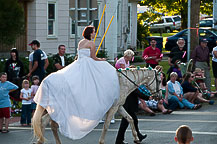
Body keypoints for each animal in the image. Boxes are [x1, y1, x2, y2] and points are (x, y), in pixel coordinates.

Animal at [32, 67, 161, 144]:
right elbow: (106, 125)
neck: (122, 82)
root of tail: (46, 80)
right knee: (45, 122)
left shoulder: (119, 106)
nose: (159, 96)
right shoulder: (113, 108)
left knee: (48, 123)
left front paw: (136, 138)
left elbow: (130, 119)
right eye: (159, 80)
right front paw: (101, 141)